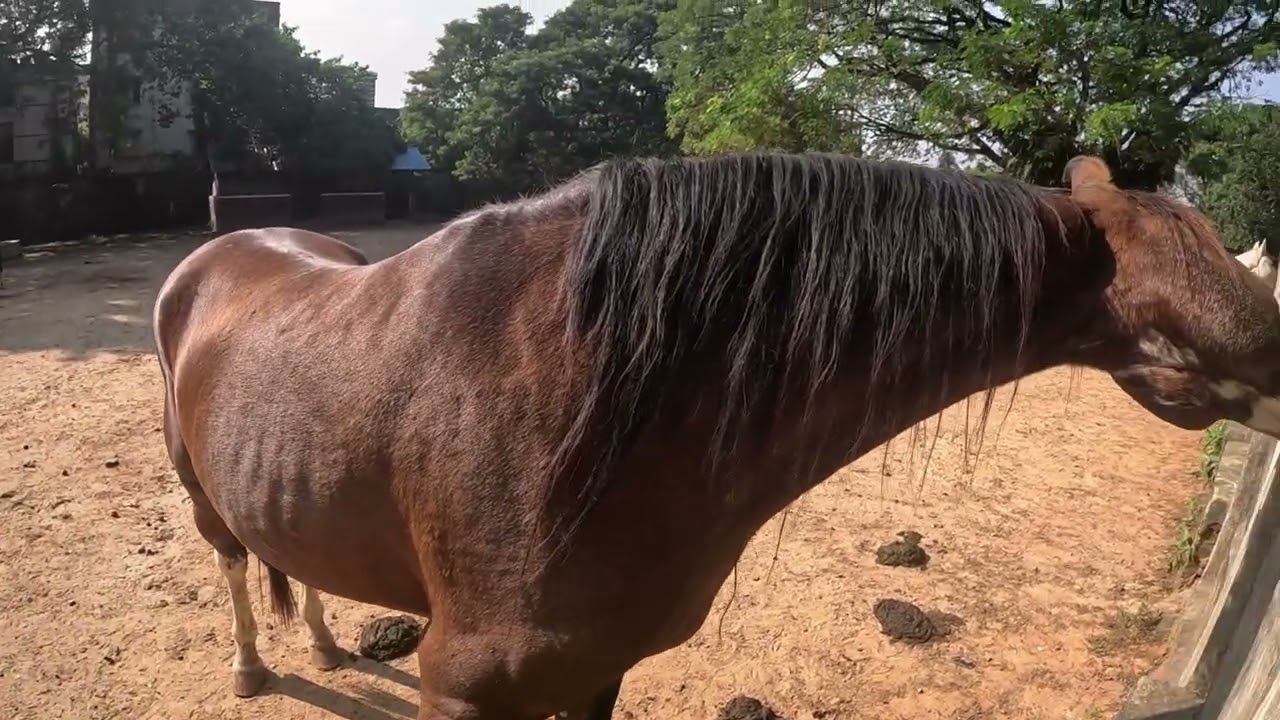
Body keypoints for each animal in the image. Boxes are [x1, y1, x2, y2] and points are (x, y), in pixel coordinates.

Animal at [153, 153, 1280, 720]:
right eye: (1206, 286)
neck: (591, 400)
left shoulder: (595, 667)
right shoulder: (465, 687)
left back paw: (326, 643)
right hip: (201, 496)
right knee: (232, 564)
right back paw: (254, 669)